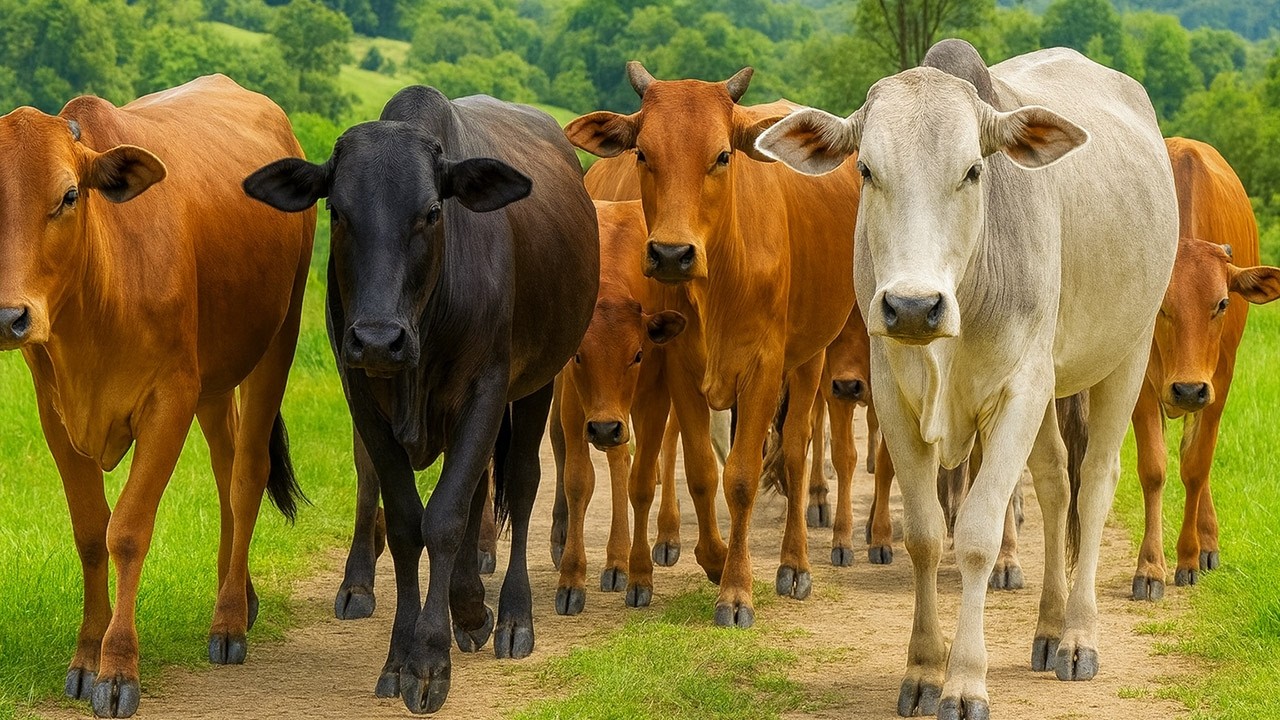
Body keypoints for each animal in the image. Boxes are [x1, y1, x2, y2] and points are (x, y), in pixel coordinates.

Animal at [0, 75, 313, 718]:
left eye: (70, 196)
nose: (10, 317)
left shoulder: (169, 400)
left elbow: (126, 532)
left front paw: (118, 669)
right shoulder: (55, 414)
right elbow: (90, 535)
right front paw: (85, 656)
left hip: (279, 337)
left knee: (247, 473)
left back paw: (228, 622)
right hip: (214, 379)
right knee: (225, 467)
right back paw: (240, 594)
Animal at [243, 86, 598, 715]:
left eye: (432, 212)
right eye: (337, 211)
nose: (378, 338)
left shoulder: (487, 389)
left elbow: (448, 517)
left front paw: (431, 660)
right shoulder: (365, 398)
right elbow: (410, 521)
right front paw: (401, 655)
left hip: (537, 383)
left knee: (521, 484)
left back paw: (510, 617)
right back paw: (470, 606)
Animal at [553, 199, 687, 615]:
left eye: (638, 354)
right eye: (578, 355)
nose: (603, 428)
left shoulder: (654, 398)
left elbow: (641, 484)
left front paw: (640, 575)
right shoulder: (575, 405)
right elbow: (578, 482)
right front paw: (571, 579)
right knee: (615, 460)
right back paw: (614, 560)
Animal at [757, 39, 1177, 718]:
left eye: (974, 171)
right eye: (866, 170)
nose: (911, 306)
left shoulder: (1018, 392)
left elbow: (978, 533)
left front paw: (965, 682)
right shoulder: (895, 397)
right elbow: (927, 535)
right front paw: (924, 671)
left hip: (1127, 353)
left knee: (1093, 483)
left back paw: (1077, 637)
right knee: (1055, 482)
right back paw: (1048, 628)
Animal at [1131, 137, 1280, 600]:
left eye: (1223, 303)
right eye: (1161, 305)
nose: (1187, 390)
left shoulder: (1219, 381)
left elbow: (1196, 466)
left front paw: (1189, 557)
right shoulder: (1142, 386)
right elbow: (1155, 470)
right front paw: (1150, 566)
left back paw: (1208, 543)